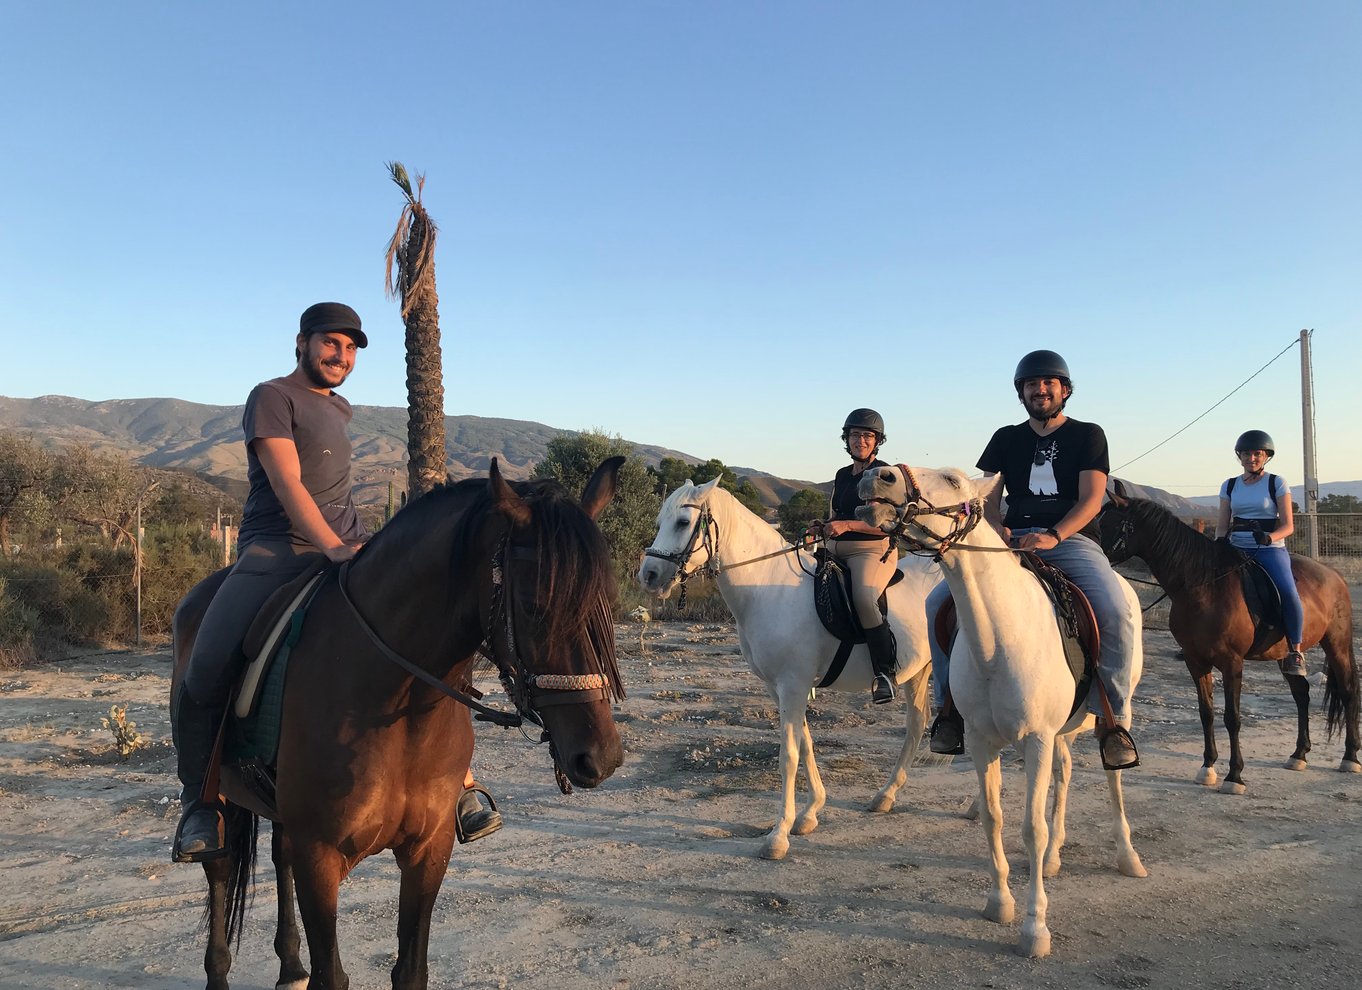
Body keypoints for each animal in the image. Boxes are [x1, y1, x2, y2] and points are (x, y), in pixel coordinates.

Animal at [171, 460, 631, 985]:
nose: (601, 757)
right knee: (221, 868)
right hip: (222, 797)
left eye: (605, 605)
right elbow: (333, 975)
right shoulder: (320, 858)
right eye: (536, 606)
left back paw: (290, 967)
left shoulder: (428, 851)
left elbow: (411, 969)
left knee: (278, 854)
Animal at [634, 479, 937, 860]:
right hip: (920, 672)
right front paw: (809, 814)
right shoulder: (780, 688)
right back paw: (888, 796)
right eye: (661, 520)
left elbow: (788, 756)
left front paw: (778, 836)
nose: (648, 575)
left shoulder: (792, 685)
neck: (766, 587)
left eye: (683, 522)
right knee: (919, 725)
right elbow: (805, 744)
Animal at [855, 465, 1144, 958]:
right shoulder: (982, 739)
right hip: (1056, 735)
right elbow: (994, 816)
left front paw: (1035, 929)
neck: (999, 636)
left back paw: (1126, 855)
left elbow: (1031, 828)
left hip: (1109, 717)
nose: (879, 475)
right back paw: (1054, 857)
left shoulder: (1037, 737)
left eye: (953, 480)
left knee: (1113, 778)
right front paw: (1000, 903)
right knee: (1065, 773)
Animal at [1100, 484, 1356, 795]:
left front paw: (1234, 776)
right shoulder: (1196, 661)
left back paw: (1350, 758)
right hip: (1285, 655)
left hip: (1336, 644)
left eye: (1109, 525)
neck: (1203, 587)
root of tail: (1333, 575)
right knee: (1302, 694)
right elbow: (1207, 713)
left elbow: (1232, 718)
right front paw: (1207, 768)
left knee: (1347, 691)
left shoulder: (1232, 662)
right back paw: (1299, 755)